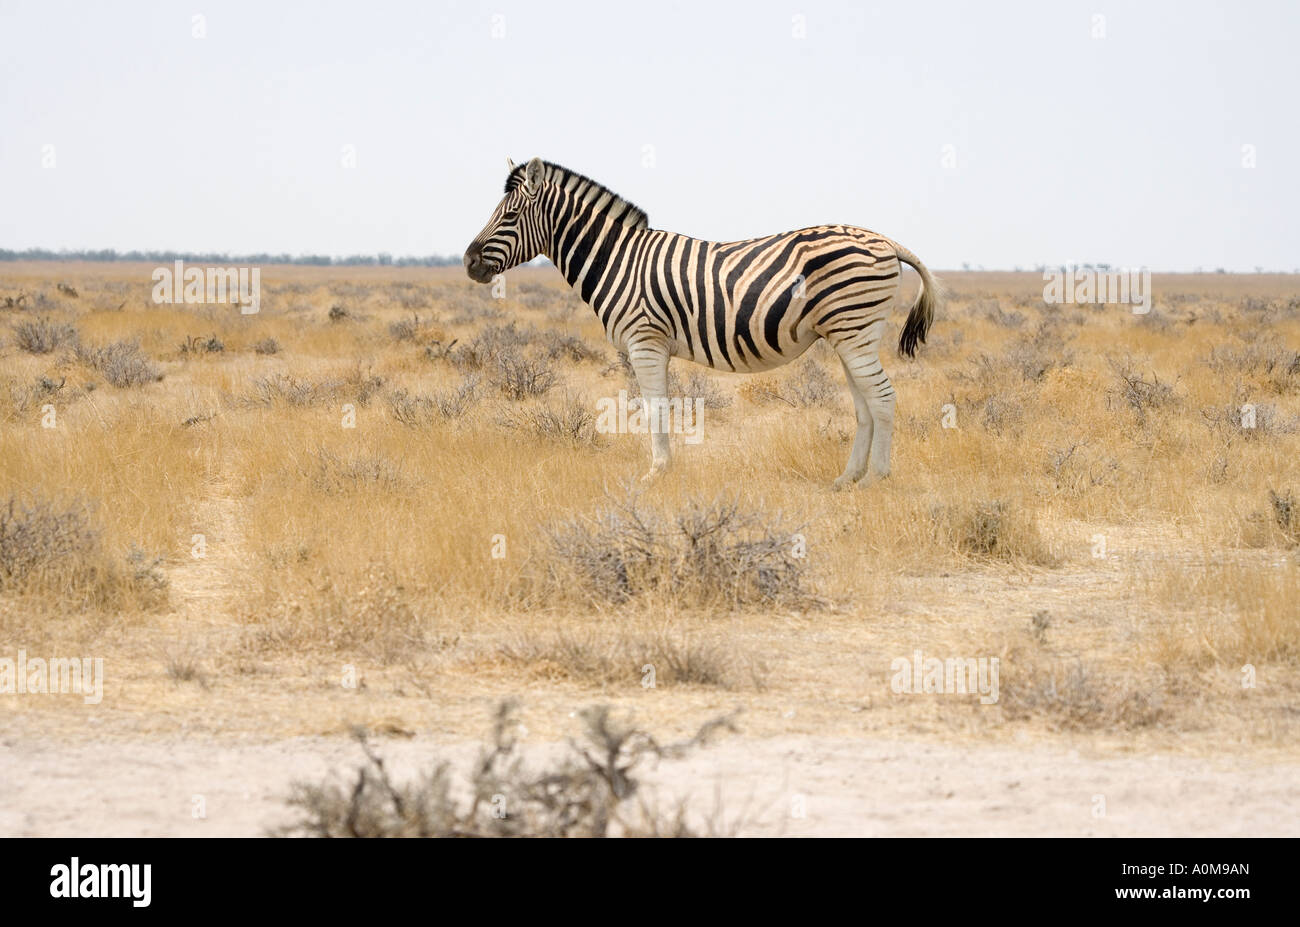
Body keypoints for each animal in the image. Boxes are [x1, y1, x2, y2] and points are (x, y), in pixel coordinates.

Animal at [464, 157, 940, 489]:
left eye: (508, 217)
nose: (468, 262)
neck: (618, 260)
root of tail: (886, 241)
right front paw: (662, 470)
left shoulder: (645, 341)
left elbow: (655, 410)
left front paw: (656, 474)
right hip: (848, 334)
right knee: (865, 404)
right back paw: (847, 479)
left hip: (854, 330)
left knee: (882, 398)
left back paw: (876, 478)